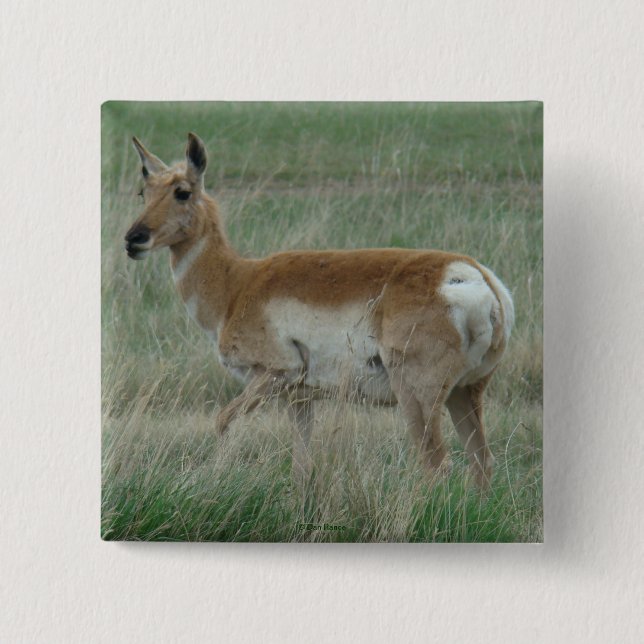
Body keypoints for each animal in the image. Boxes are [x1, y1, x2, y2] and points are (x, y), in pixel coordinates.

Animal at [124, 133, 514, 489]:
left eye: (182, 191)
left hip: (417, 394)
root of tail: (476, 278)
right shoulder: (299, 398)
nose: (133, 239)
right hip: (465, 392)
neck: (237, 284)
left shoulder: (274, 374)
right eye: (144, 191)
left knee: (436, 462)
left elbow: (222, 421)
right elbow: (301, 467)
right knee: (481, 461)